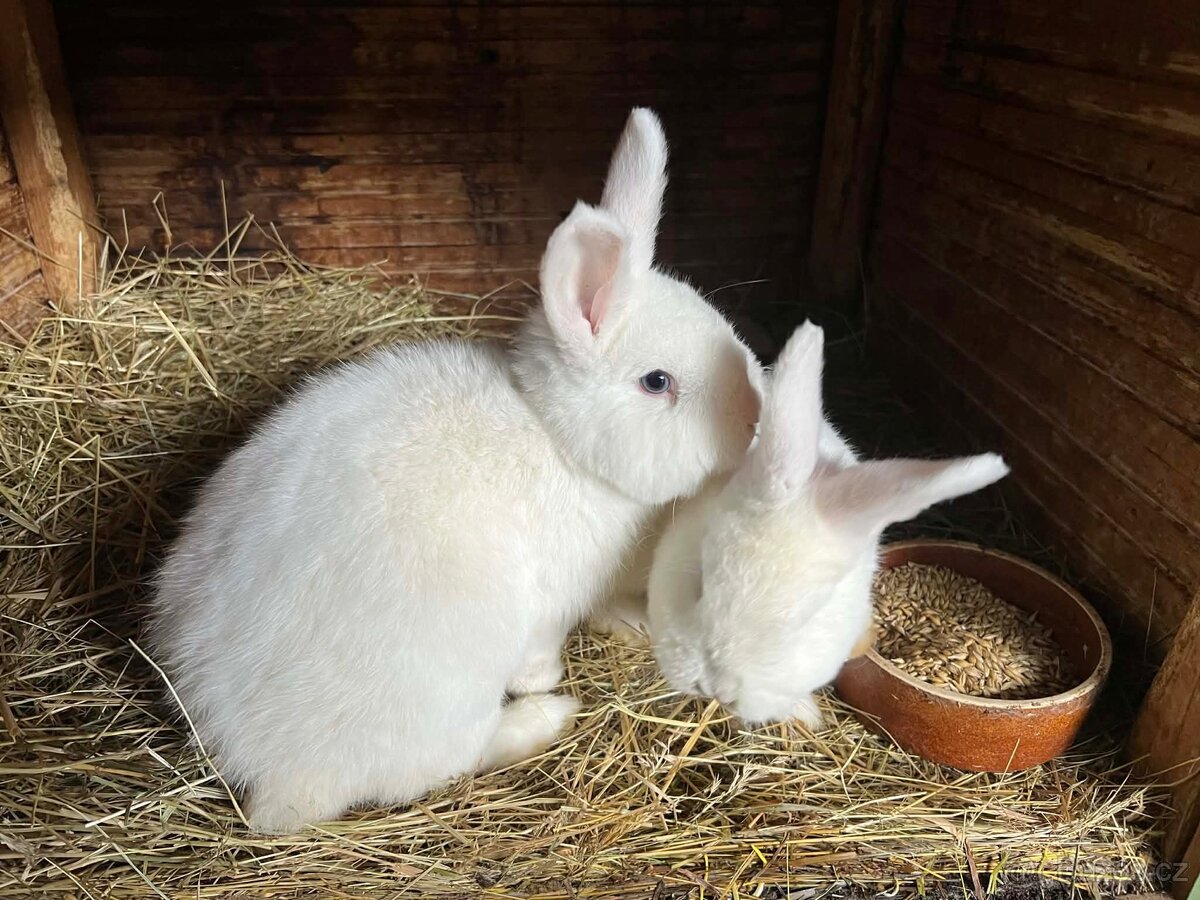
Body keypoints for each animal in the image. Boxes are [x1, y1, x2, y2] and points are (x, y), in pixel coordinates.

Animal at [148, 108, 762, 834]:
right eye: (657, 382)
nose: (756, 415)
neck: (557, 439)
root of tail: (268, 777)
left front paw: (634, 622)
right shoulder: (547, 610)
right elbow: (540, 655)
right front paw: (548, 682)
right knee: (454, 756)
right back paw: (546, 717)